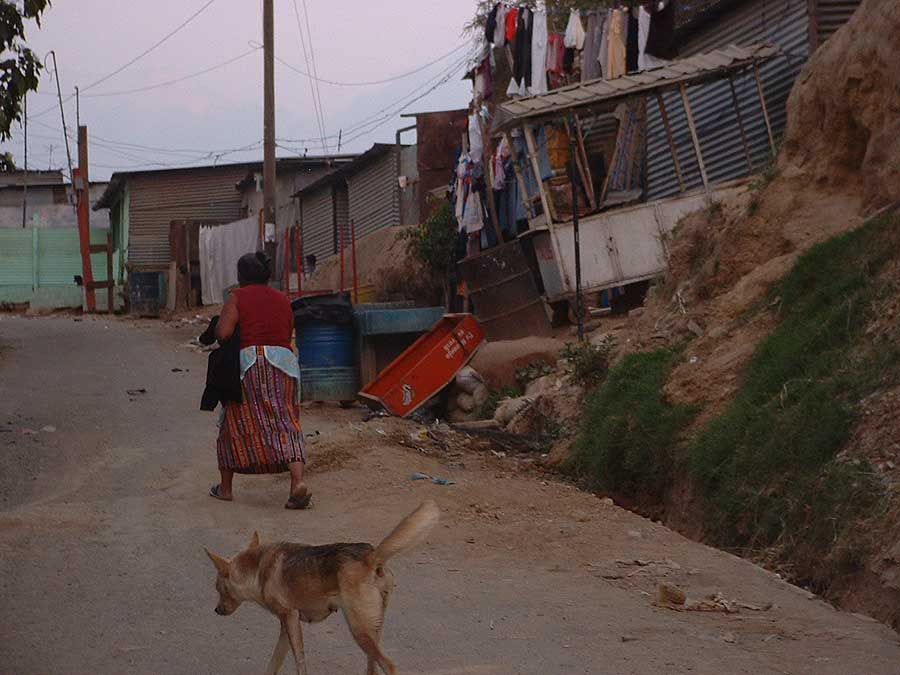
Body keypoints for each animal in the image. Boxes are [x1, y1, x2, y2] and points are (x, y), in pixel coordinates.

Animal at [205, 500, 442, 672]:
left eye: (218, 588)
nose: (216, 610)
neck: (258, 568)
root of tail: (370, 556)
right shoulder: (287, 626)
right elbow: (274, 663)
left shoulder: (290, 619)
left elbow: (299, 662)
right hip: (372, 631)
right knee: (373, 666)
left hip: (359, 630)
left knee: (389, 665)